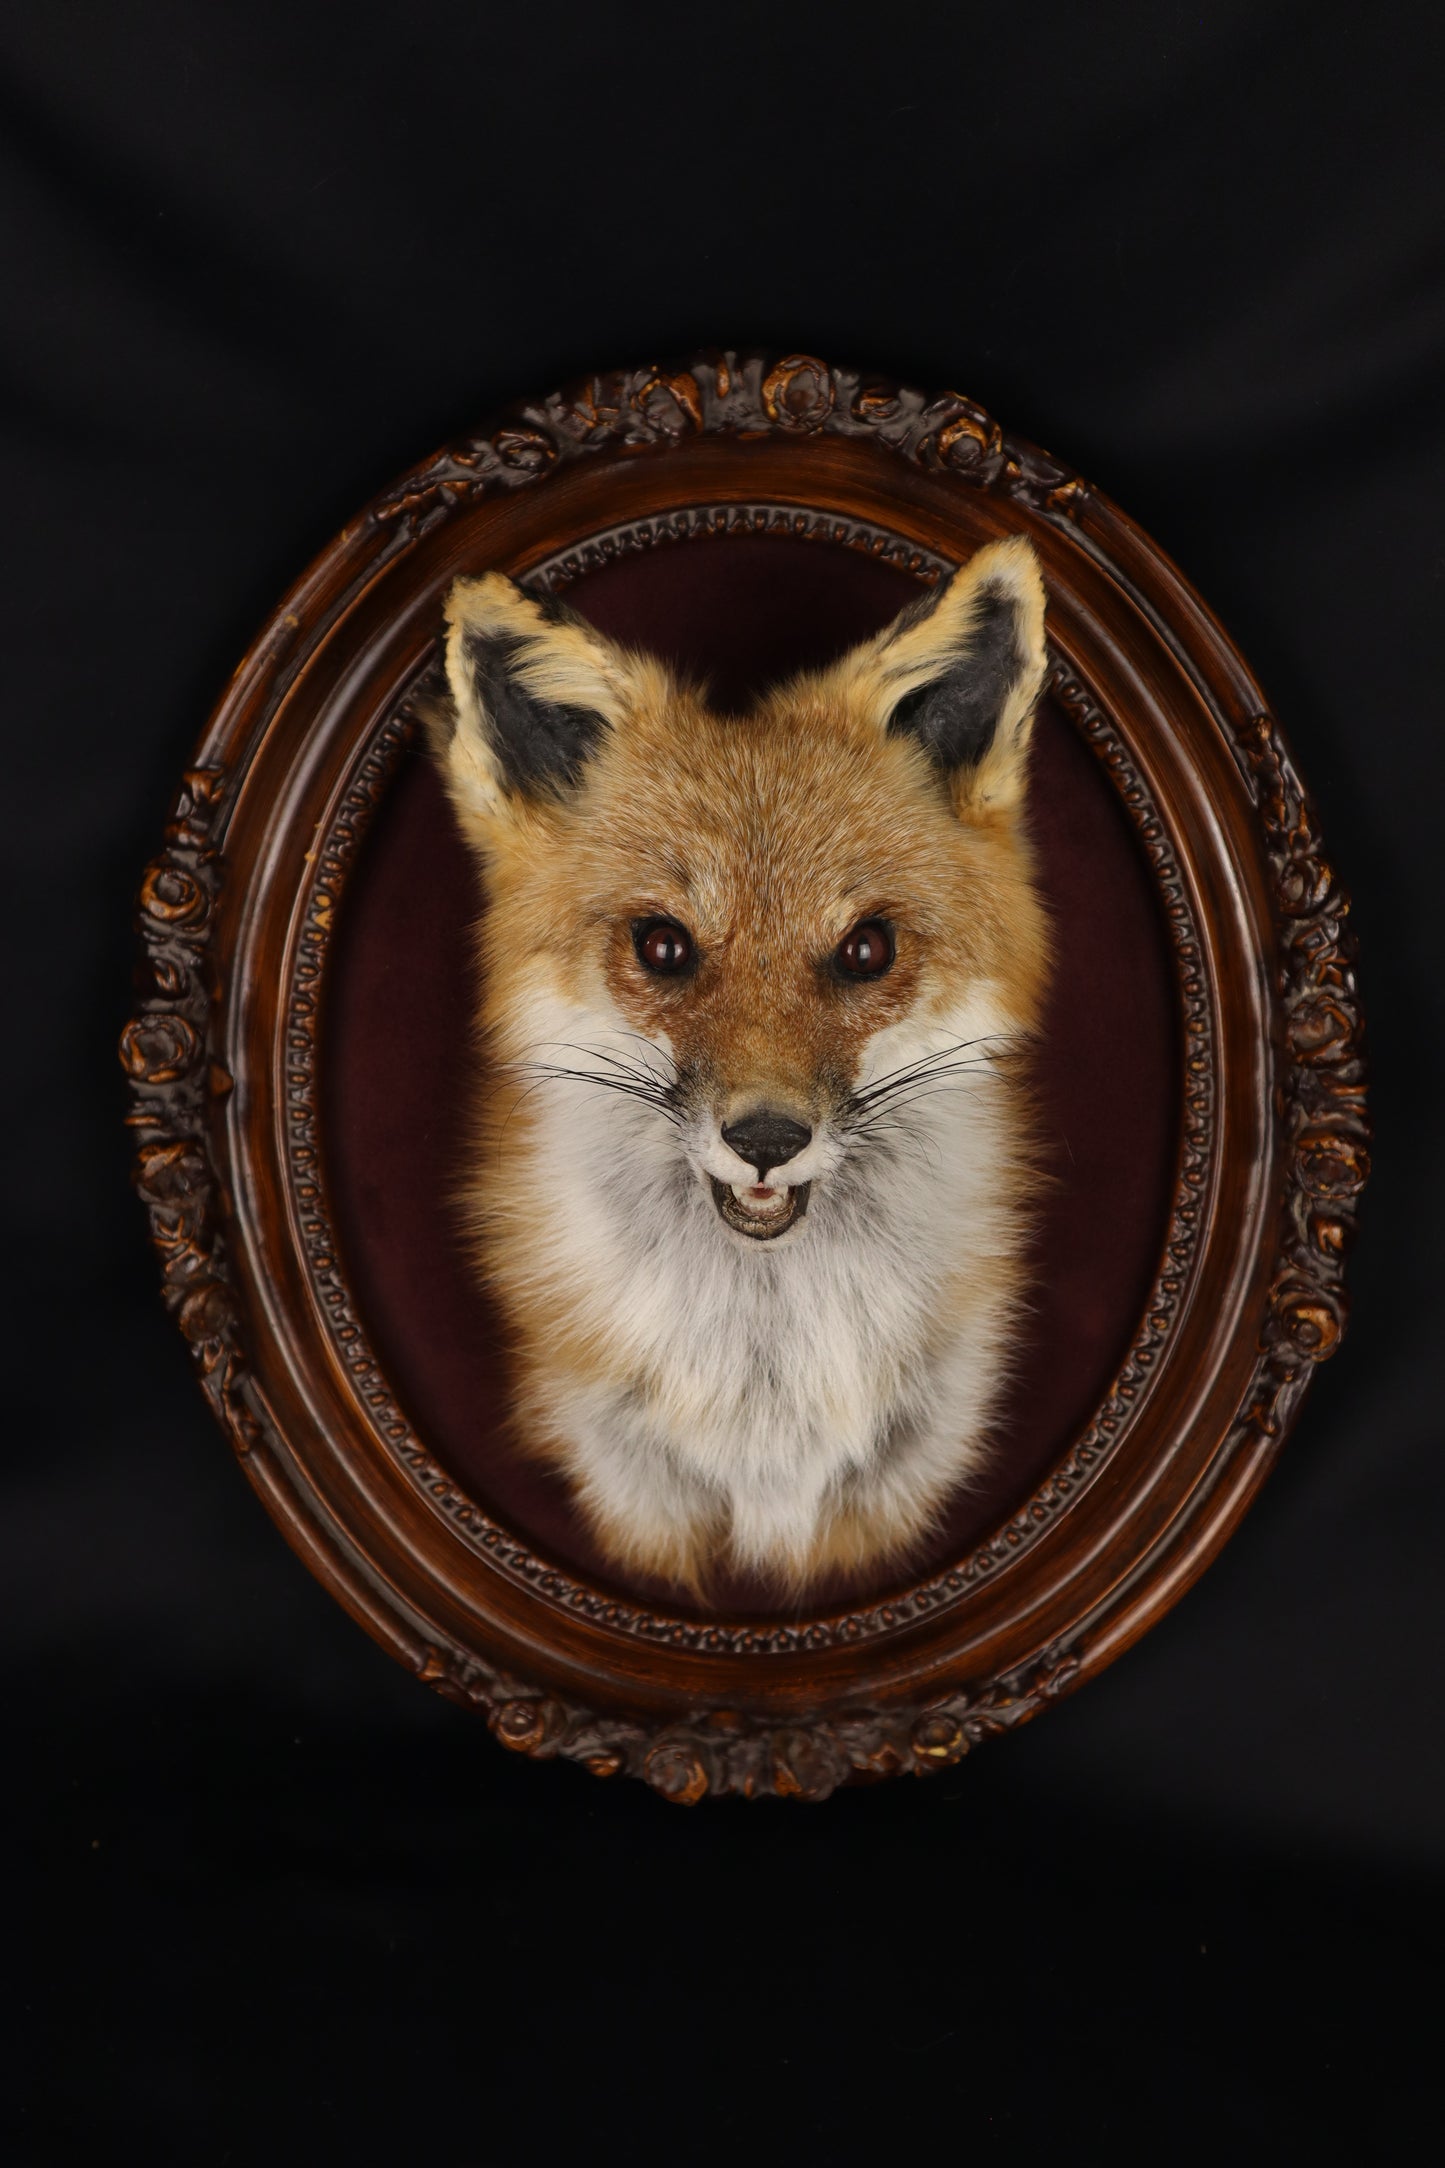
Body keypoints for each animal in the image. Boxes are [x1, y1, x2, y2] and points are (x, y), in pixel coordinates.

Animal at [425, 535, 1052, 1599]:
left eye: (866, 950)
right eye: (664, 946)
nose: (765, 1139)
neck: (765, 1381)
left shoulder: (901, 1473)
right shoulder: (628, 1484)